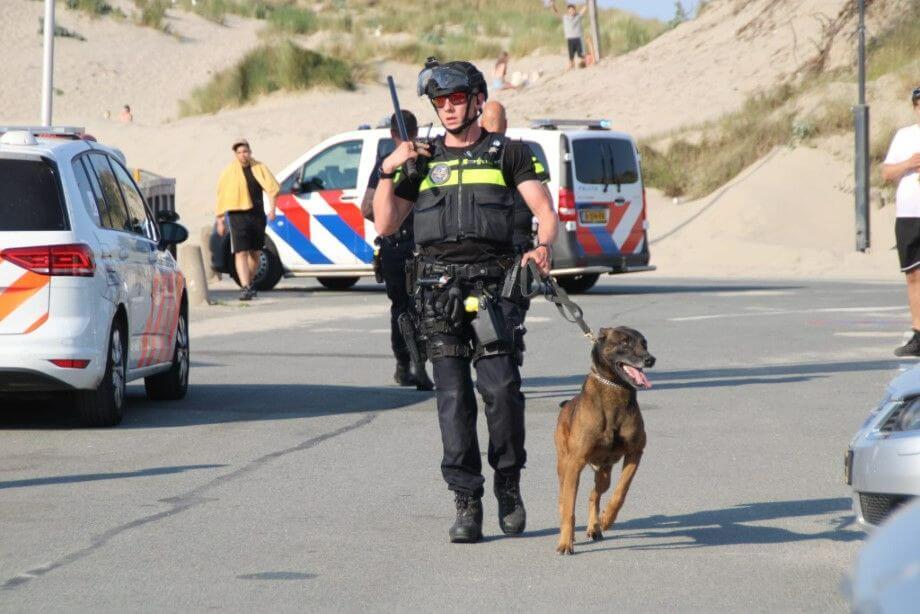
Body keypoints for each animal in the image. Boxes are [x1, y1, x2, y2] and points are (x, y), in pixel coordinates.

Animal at [552, 330, 656, 556]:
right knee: (563, 498)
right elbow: (569, 508)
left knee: (594, 495)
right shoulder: (575, 464)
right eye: (624, 343)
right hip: (564, 466)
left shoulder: (635, 453)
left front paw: (607, 519)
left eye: (644, 343)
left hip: (604, 474)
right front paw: (565, 542)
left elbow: (621, 491)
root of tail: (566, 405)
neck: (615, 387)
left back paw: (595, 526)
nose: (650, 359)